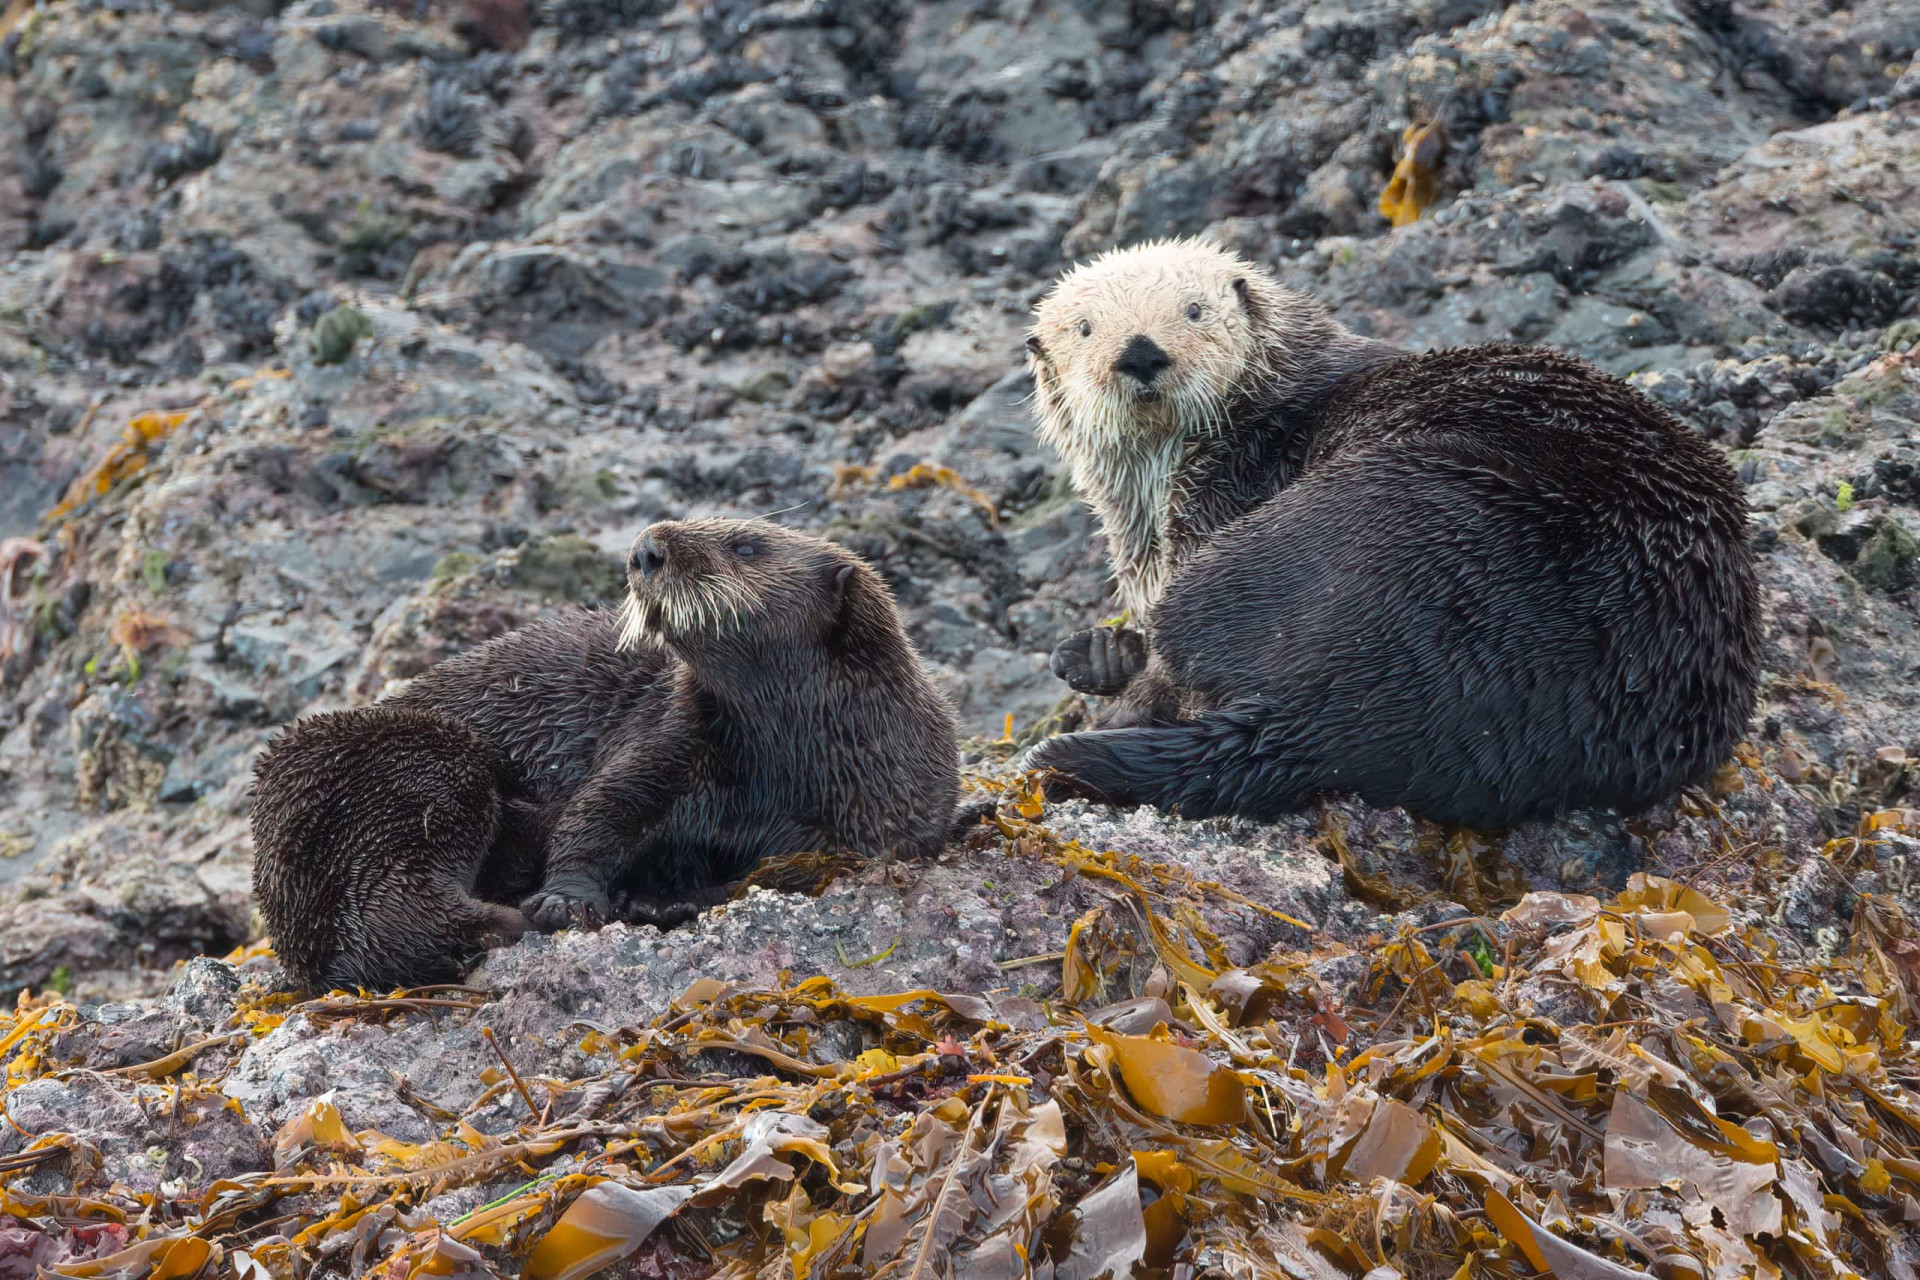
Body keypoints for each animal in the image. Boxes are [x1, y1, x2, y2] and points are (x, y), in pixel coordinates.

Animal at [250, 518, 959, 992]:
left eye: (745, 545)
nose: (646, 548)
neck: (783, 761)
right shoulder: (670, 735)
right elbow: (599, 812)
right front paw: (569, 902)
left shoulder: (882, 823)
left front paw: (662, 893)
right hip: (414, 763)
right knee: (399, 909)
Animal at [1021, 237, 1761, 828]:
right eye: (1085, 328)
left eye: (1195, 310)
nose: (1140, 353)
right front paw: (1104, 648)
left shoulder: (1215, 502)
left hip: (1302, 538)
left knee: (1180, 657)